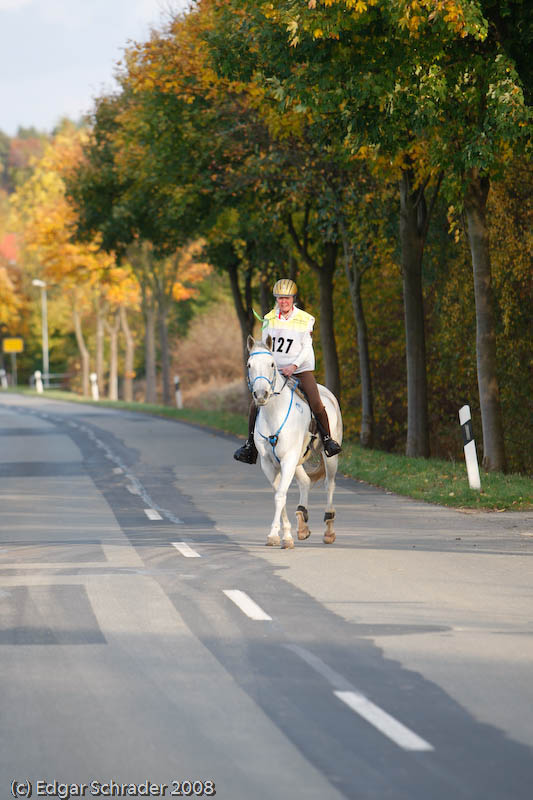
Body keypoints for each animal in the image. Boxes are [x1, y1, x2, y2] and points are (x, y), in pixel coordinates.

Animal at [244, 336, 340, 552]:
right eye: (249, 365)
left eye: (272, 364)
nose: (260, 395)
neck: (274, 413)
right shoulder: (269, 463)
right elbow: (278, 494)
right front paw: (285, 535)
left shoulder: (287, 459)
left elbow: (280, 495)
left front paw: (276, 536)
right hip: (297, 460)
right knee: (304, 482)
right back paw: (302, 525)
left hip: (328, 456)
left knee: (329, 485)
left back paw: (329, 531)